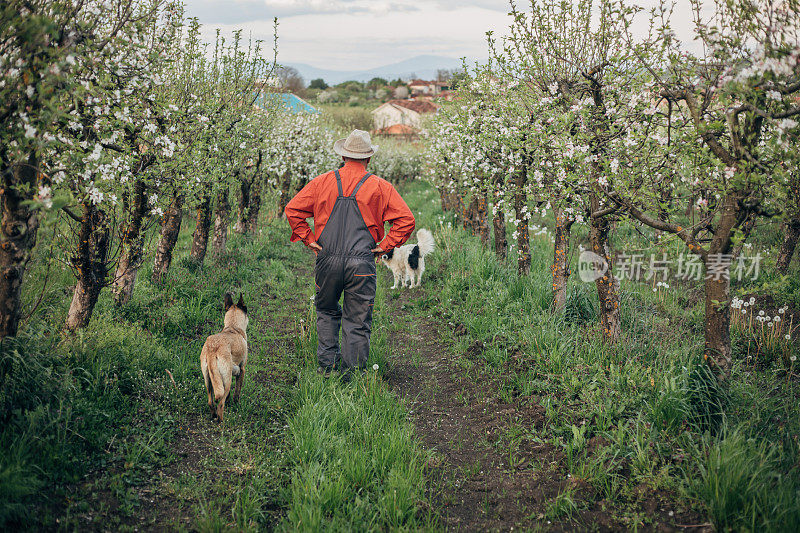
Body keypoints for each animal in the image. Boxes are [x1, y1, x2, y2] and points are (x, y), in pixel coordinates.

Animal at [202, 290, 248, 420]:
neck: (233, 326)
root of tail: (212, 349)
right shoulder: (242, 369)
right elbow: (237, 391)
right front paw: (236, 404)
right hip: (227, 380)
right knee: (220, 404)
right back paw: (221, 421)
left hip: (208, 380)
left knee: (211, 402)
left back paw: (214, 416)